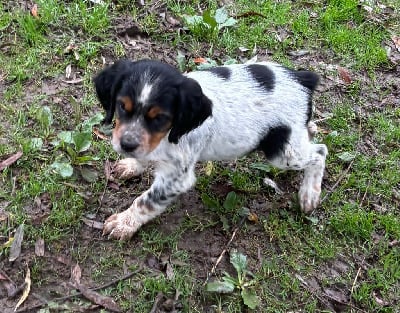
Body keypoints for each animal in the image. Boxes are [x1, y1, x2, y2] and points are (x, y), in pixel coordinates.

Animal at [94, 59, 328, 240]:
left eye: (159, 118)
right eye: (122, 106)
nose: (126, 145)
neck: (168, 135)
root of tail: (301, 78)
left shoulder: (176, 178)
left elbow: (145, 202)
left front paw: (124, 223)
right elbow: (143, 155)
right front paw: (131, 165)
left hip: (282, 153)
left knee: (320, 152)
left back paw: (309, 195)